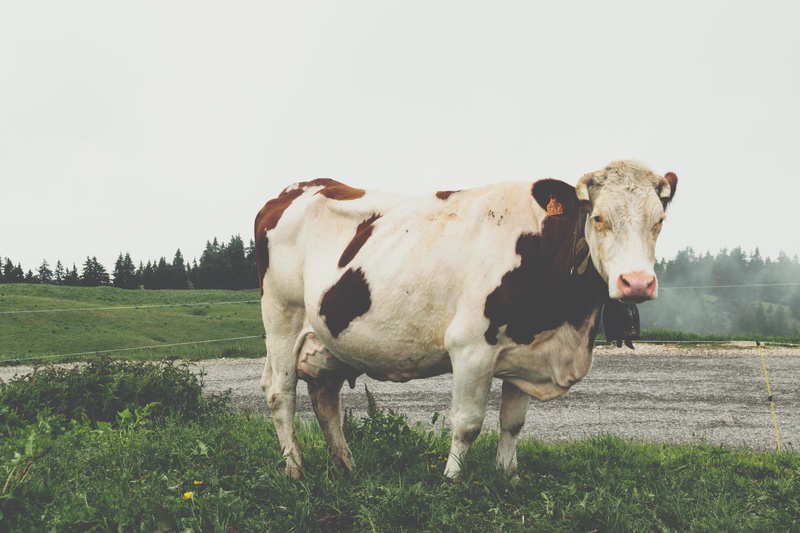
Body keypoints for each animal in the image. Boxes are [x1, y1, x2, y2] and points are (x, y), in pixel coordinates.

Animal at [255, 160, 677, 479]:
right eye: (600, 218)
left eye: (659, 221)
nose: (636, 282)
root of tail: (298, 187)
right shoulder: (471, 347)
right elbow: (468, 422)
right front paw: (451, 481)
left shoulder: (526, 347)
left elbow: (513, 423)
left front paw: (508, 477)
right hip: (281, 318)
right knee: (280, 393)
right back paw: (295, 470)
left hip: (325, 339)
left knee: (325, 397)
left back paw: (346, 467)